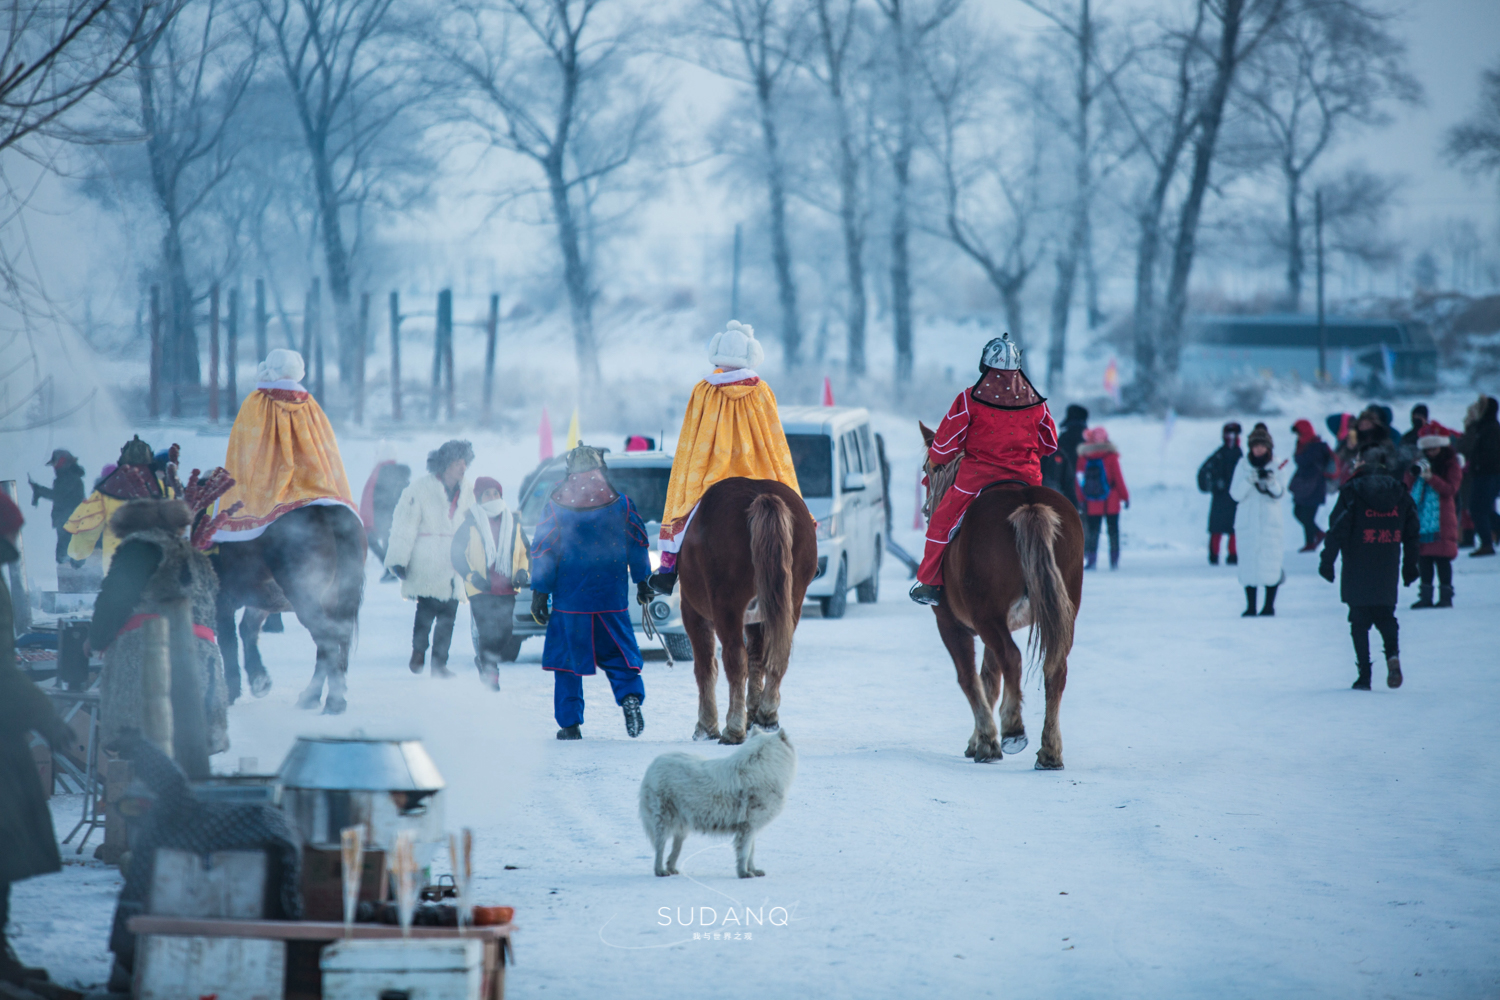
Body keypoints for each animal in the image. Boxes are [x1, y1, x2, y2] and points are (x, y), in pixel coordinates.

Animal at [639, 728, 798, 875]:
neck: (762, 765)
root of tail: (653, 765)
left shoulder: (752, 827)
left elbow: (751, 853)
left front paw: (753, 870)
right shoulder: (747, 827)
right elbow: (744, 853)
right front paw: (744, 873)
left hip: (682, 825)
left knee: (675, 849)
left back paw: (671, 868)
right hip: (665, 821)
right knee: (660, 847)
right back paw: (659, 871)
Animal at [681, 479, 822, 746]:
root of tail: (762, 496)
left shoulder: (694, 613)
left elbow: (705, 665)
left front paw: (706, 726)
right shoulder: (757, 618)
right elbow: (757, 657)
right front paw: (753, 712)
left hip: (727, 607)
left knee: (735, 658)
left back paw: (733, 728)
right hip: (789, 602)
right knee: (778, 654)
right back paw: (766, 715)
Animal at [918, 422, 1086, 767]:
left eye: (928, 470)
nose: (927, 510)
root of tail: (1029, 505)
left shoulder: (952, 625)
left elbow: (971, 679)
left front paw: (986, 740)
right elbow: (990, 680)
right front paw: (978, 740)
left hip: (986, 616)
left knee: (1013, 657)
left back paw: (1013, 729)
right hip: (1061, 614)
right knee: (1055, 668)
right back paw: (1050, 750)